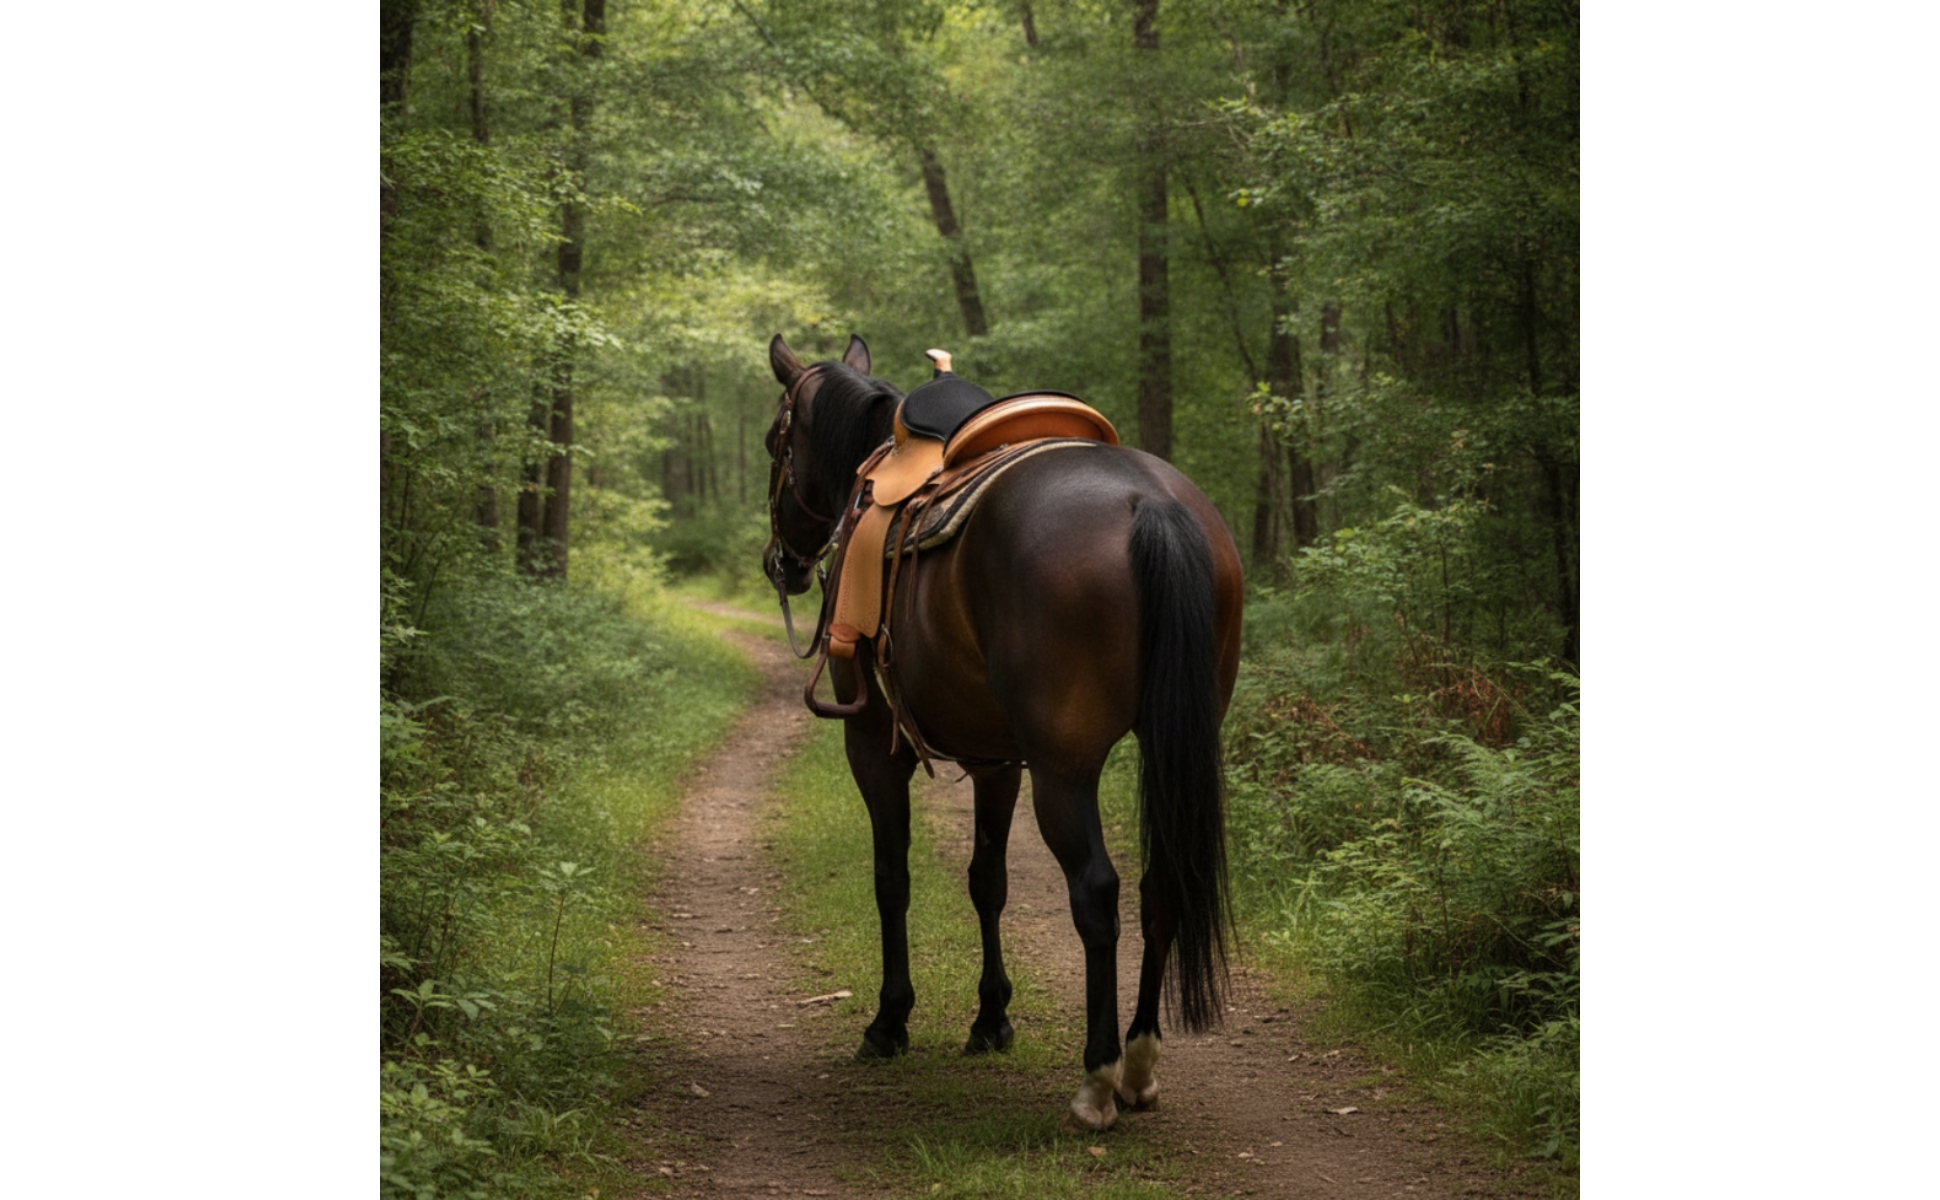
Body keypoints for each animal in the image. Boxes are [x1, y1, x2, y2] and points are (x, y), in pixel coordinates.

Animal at [761, 333, 1245, 1131]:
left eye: (776, 441)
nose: (781, 563)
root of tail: (1150, 502)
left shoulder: (874, 744)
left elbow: (891, 878)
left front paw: (889, 1022)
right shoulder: (997, 760)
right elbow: (988, 880)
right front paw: (991, 1019)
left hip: (1064, 767)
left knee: (1098, 893)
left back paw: (1098, 1080)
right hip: (1168, 742)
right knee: (1161, 884)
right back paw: (1141, 1061)